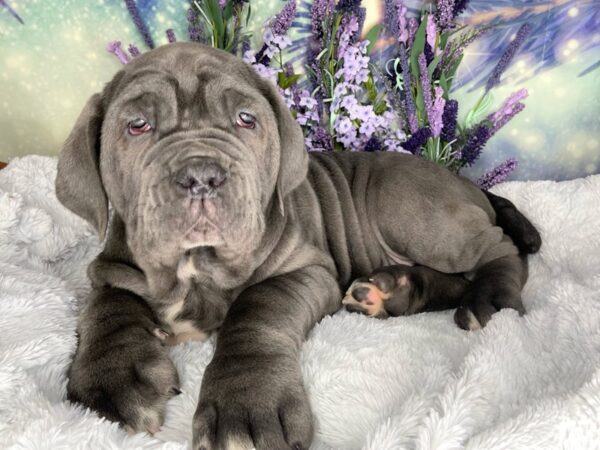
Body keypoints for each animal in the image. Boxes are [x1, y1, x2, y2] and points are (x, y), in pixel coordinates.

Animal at [57, 43, 540, 450]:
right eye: (137, 126)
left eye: (246, 119)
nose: (201, 176)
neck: (197, 267)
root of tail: (468, 184)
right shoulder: (112, 268)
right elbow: (105, 308)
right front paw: (114, 377)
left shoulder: (305, 269)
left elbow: (257, 308)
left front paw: (246, 403)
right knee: (454, 279)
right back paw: (391, 291)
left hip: (413, 210)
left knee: (497, 249)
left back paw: (489, 299)